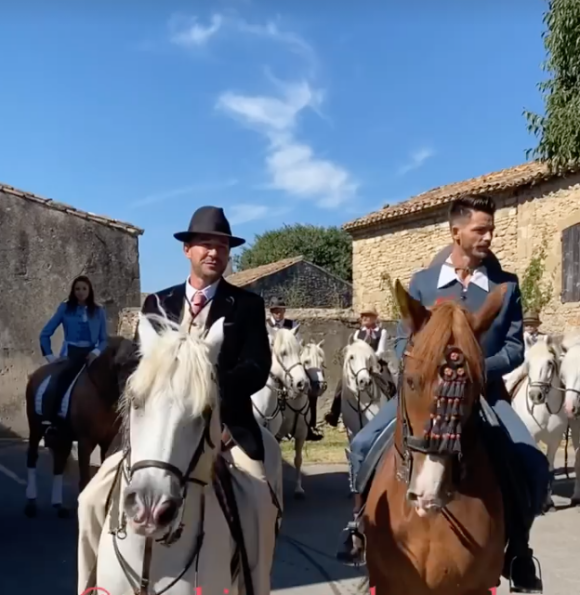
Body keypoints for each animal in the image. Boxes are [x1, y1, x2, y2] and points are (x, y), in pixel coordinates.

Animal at [24, 338, 135, 520]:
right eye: (119, 364)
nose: (129, 397)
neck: (101, 393)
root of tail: (35, 375)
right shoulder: (85, 442)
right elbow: (85, 478)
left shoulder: (107, 442)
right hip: (35, 428)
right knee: (32, 459)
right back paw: (31, 504)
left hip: (63, 437)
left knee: (59, 463)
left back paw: (59, 506)